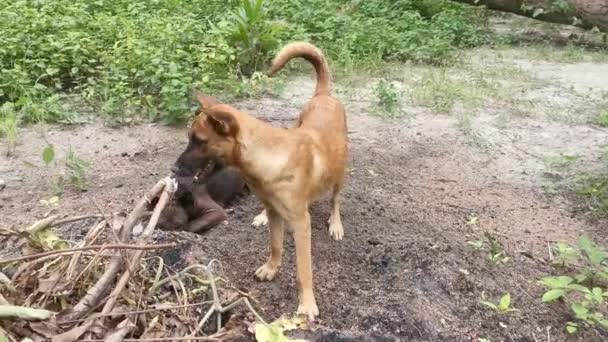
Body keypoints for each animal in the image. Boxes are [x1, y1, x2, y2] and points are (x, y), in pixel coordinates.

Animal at [173, 43, 350, 320]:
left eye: (199, 140)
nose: (174, 168)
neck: (269, 156)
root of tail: (324, 95)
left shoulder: (302, 224)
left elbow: (303, 270)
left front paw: (307, 304)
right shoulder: (276, 212)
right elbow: (276, 244)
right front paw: (271, 268)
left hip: (339, 171)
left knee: (335, 199)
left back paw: (336, 224)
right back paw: (262, 217)